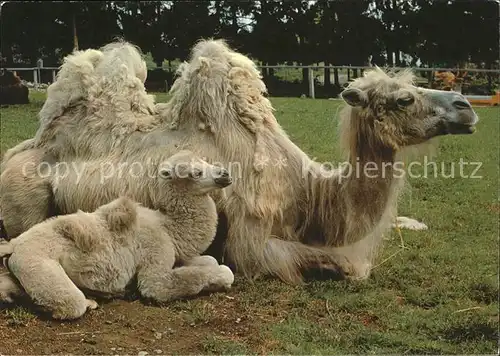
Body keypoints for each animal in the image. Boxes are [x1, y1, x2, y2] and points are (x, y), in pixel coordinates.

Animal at [0, 39, 478, 284]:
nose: (466, 106)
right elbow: (330, 264)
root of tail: (23, 148)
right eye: (403, 99)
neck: (309, 192)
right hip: (27, 194)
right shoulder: (251, 239)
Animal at [0, 150, 234, 320]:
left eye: (205, 161)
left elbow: (210, 260)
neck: (168, 229)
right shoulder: (155, 262)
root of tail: (14, 245)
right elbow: (174, 282)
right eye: (195, 173)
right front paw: (222, 277)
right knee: (69, 304)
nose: (225, 174)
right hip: (37, 263)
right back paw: (94, 299)